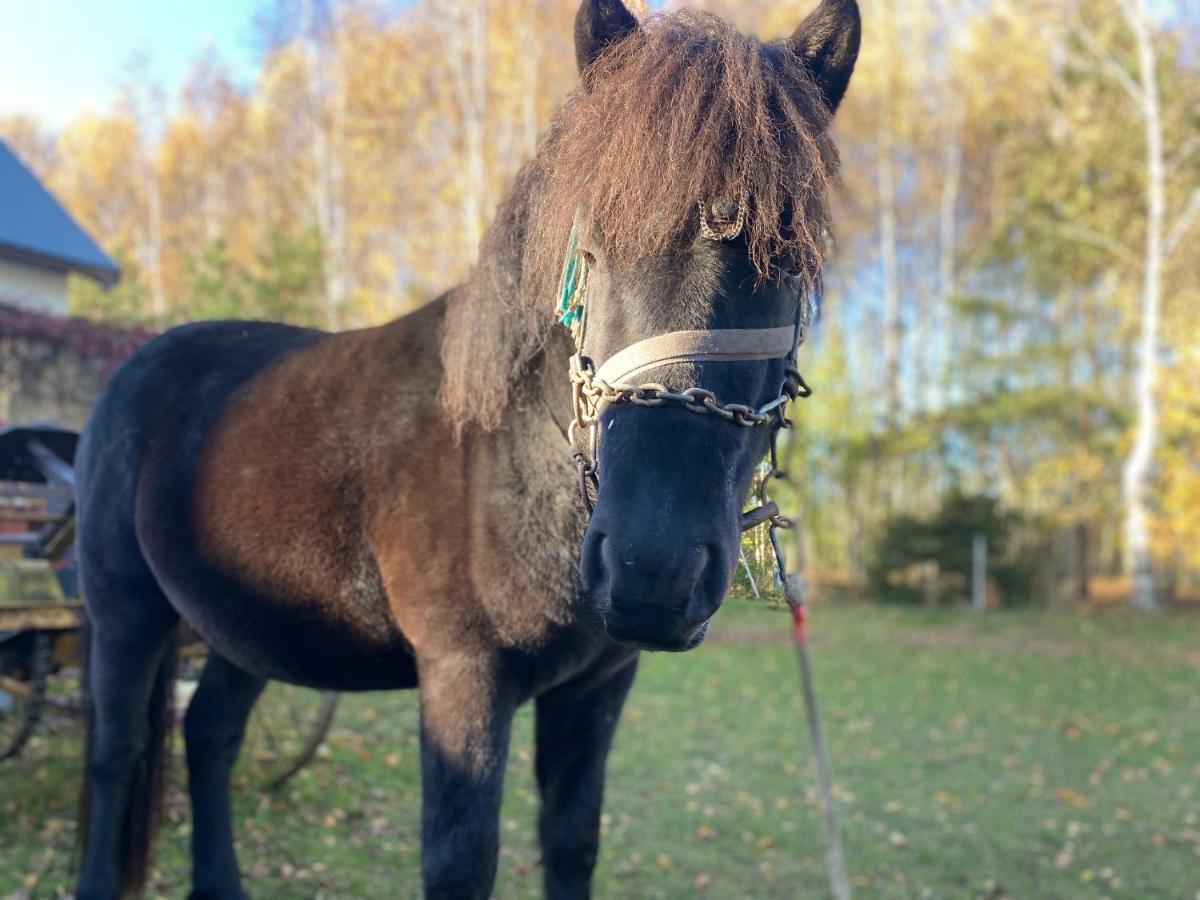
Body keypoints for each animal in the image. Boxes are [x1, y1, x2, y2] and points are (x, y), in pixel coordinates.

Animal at [75, 3, 859, 897]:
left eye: (791, 259)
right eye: (591, 249)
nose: (653, 568)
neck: (510, 455)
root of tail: (137, 367)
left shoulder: (595, 691)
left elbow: (570, 845)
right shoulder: (462, 683)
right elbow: (460, 861)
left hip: (244, 624)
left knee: (209, 735)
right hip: (124, 609)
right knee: (117, 750)